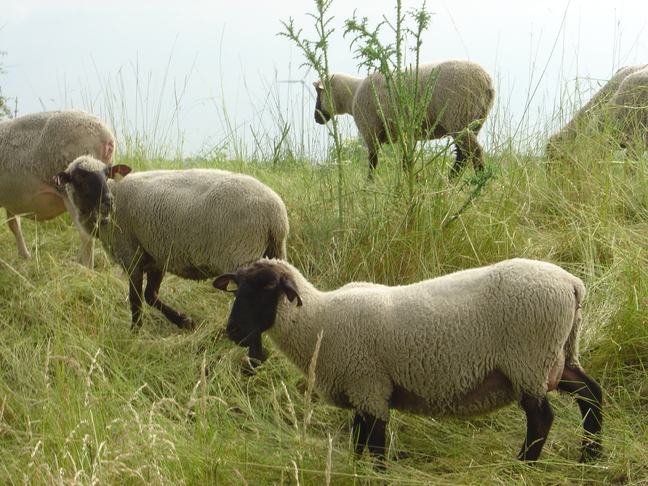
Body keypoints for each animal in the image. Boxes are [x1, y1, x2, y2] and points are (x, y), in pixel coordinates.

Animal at [0, 109, 115, 267]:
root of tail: (106, 136)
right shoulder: (11, 199)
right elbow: (14, 224)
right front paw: (24, 255)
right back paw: (78, 263)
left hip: (72, 192)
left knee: (86, 235)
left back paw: (85, 268)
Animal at [54, 156, 289, 340]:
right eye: (79, 178)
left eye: (105, 173)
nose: (108, 202)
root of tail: (275, 214)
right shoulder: (156, 256)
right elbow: (150, 295)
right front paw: (184, 321)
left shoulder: (131, 253)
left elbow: (136, 300)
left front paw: (134, 335)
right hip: (274, 251)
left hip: (242, 254)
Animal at [214, 258, 603, 466]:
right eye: (236, 288)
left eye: (268, 288)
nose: (234, 330)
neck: (320, 321)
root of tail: (572, 284)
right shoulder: (362, 391)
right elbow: (359, 443)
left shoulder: (369, 386)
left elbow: (375, 446)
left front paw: (377, 474)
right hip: (557, 355)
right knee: (591, 394)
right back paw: (590, 456)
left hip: (528, 359)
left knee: (541, 419)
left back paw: (522, 466)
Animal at [313, 60, 495, 179]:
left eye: (319, 92)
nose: (316, 118)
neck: (351, 96)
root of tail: (487, 81)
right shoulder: (406, 135)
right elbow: (405, 163)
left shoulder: (370, 130)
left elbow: (373, 163)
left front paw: (369, 186)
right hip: (473, 120)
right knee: (463, 154)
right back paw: (450, 182)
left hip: (458, 117)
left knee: (474, 151)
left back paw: (478, 180)